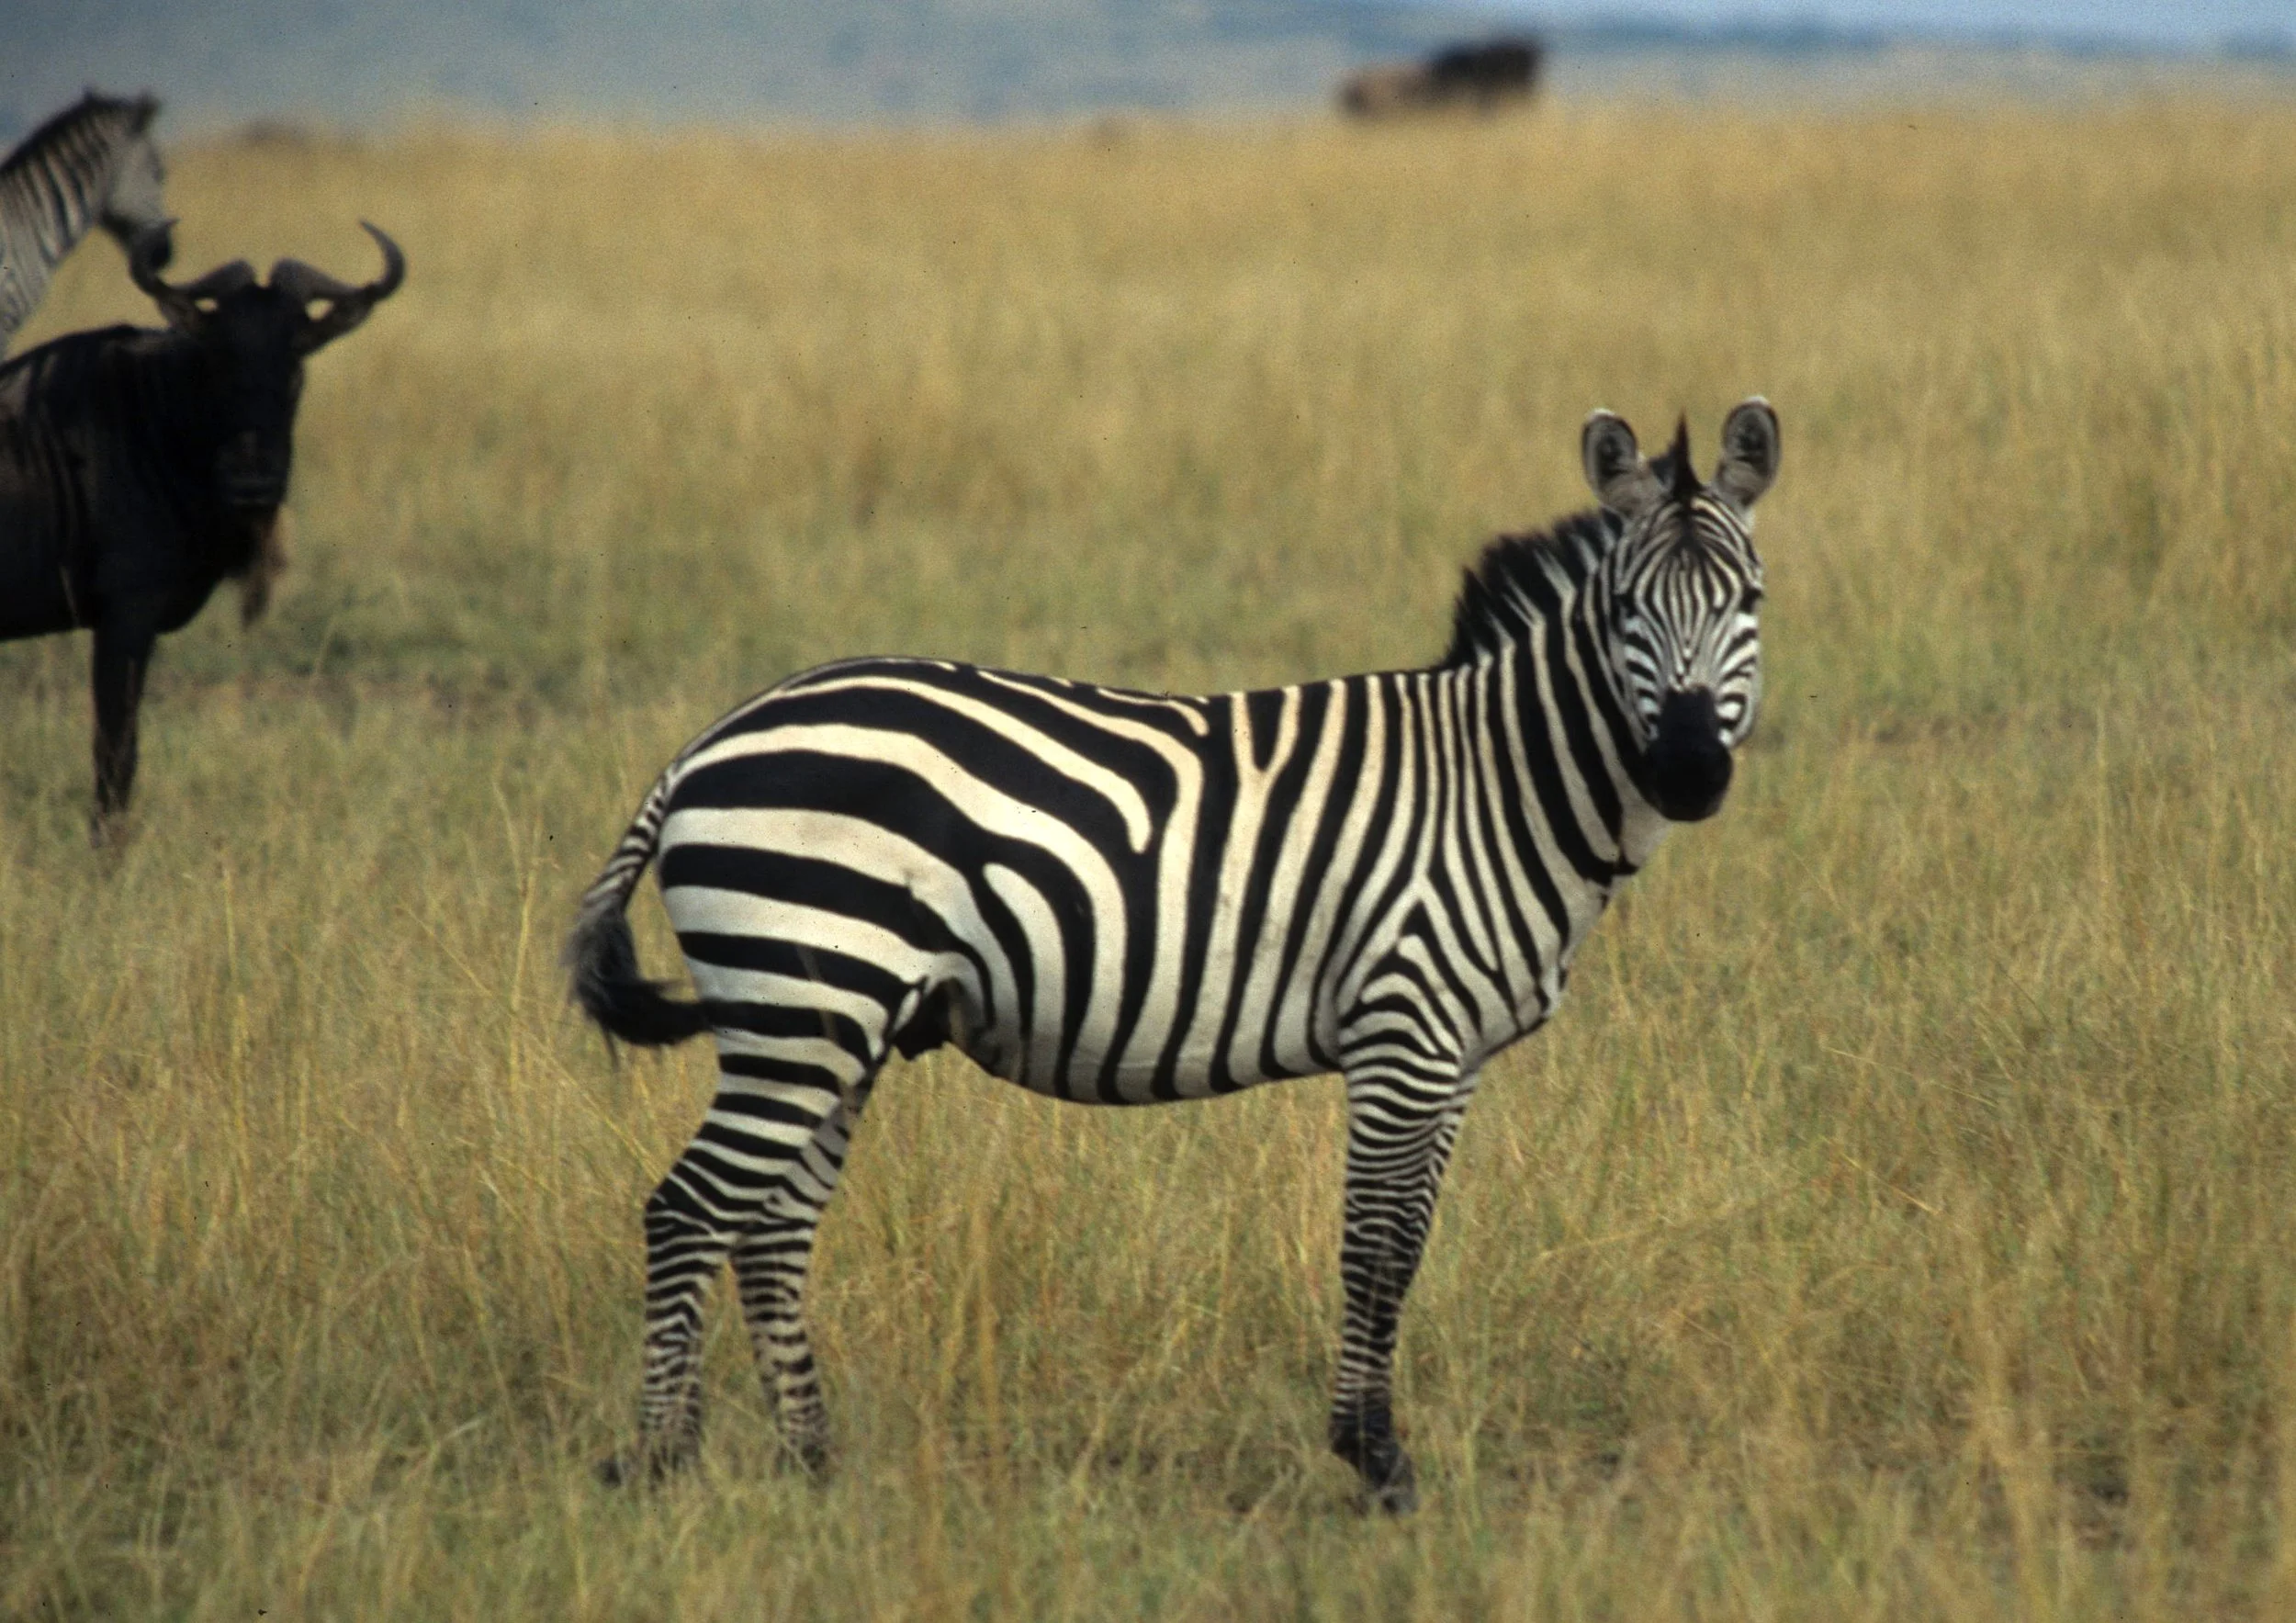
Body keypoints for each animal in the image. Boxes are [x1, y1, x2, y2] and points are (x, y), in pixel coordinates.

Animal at [566, 399, 1780, 1510]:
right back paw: (657, 1463)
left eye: (1749, 601)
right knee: (688, 1210)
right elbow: (1376, 1248)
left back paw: (812, 1464)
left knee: (770, 1226)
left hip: (833, 1021)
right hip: (802, 1010)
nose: (1687, 772)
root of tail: (704, 745)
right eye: (1625, 607)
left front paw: (1374, 1448)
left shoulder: (1458, 1059)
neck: (1497, 784)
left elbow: (1410, 1245)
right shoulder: (1404, 1038)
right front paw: (1375, 1463)